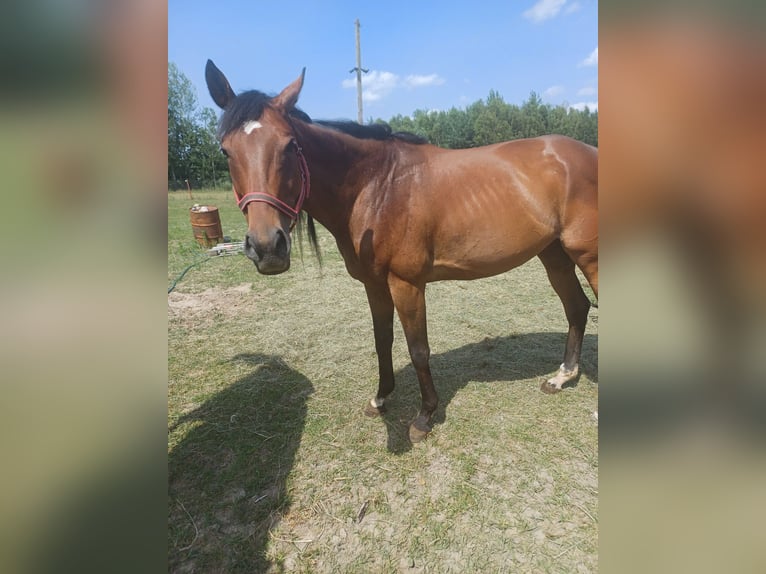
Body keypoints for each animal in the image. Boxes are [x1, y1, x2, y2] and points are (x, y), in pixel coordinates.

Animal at [206, 60, 600, 444]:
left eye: (290, 145)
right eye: (226, 150)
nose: (267, 247)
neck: (376, 186)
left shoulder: (406, 283)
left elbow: (418, 348)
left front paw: (425, 417)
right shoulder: (374, 284)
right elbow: (383, 340)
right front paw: (380, 398)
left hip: (588, 256)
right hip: (554, 254)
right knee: (577, 307)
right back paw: (562, 377)